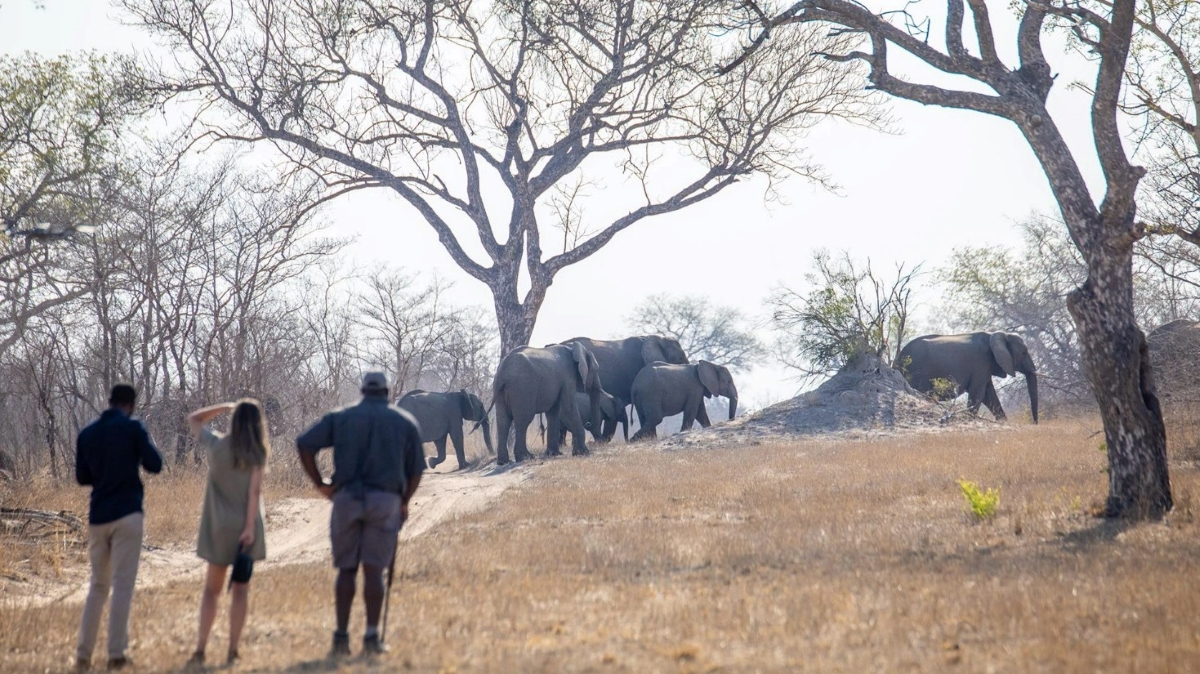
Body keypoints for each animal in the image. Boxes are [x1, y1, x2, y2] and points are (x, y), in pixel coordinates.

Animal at [902, 328, 1041, 419]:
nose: (1034, 423)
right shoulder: (981, 363)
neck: (995, 334)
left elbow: (989, 396)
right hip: (918, 371)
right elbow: (978, 394)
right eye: (1024, 352)